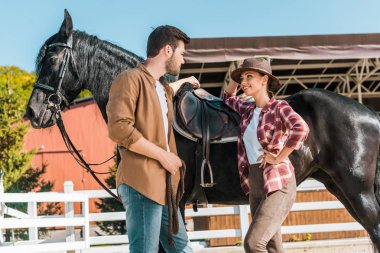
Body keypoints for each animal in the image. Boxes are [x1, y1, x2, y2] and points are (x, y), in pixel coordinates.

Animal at [25, 9, 380, 251]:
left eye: (53, 58)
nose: (34, 112)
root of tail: (368, 114)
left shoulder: (175, 200)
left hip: (357, 190)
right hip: (339, 187)